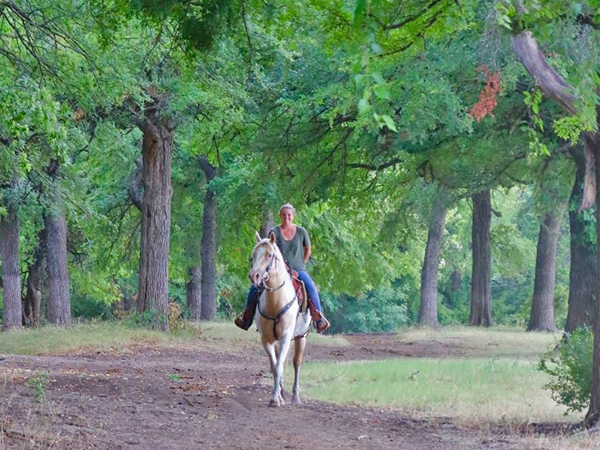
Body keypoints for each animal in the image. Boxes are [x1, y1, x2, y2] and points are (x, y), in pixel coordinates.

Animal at [250, 230, 312, 406]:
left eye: (270, 255)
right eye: (253, 255)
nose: (254, 276)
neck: (276, 302)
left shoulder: (285, 336)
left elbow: (279, 366)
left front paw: (274, 399)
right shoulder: (266, 339)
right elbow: (274, 366)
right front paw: (276, 398)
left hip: (301, 337)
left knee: (296, 362)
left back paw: (295, 397)